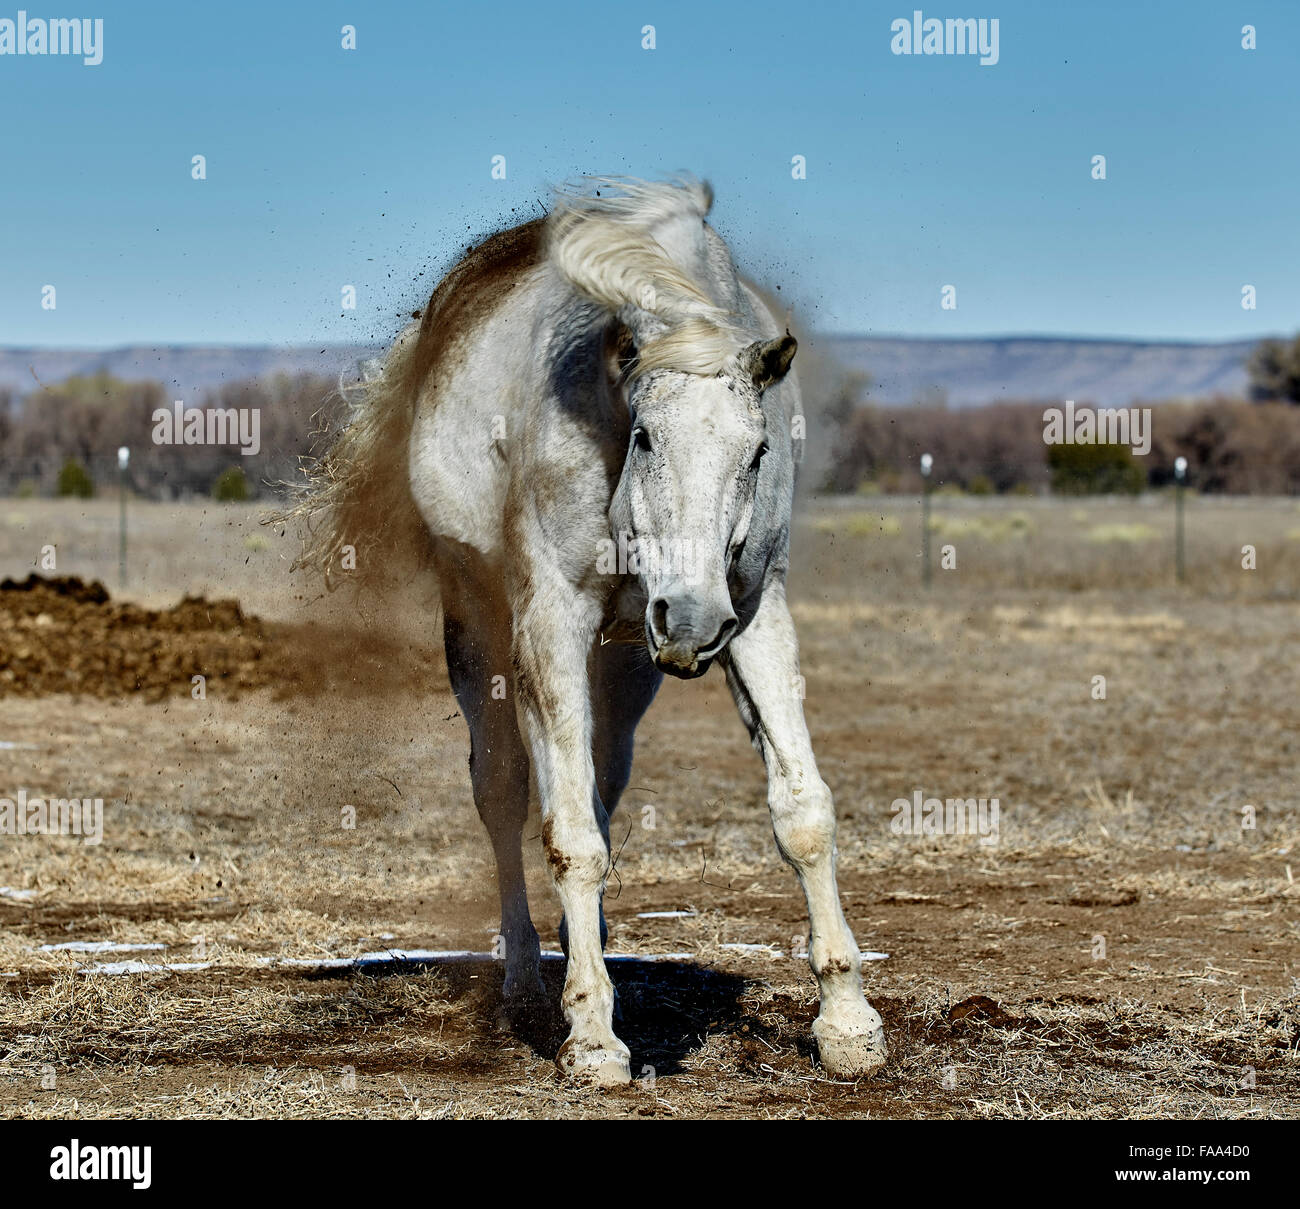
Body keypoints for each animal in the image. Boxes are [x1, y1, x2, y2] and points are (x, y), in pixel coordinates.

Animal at [289, 177, 887, 1085]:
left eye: (756, 452)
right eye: (645, 437)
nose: (691, 617)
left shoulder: (753, 613)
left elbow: (802, 811)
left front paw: (848, 1022)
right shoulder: (553, 619)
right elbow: (566, 834)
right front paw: (593, 1039)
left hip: (626, 667)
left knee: (599, 787)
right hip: (484, 635)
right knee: (507, 796)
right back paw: (532, 985)